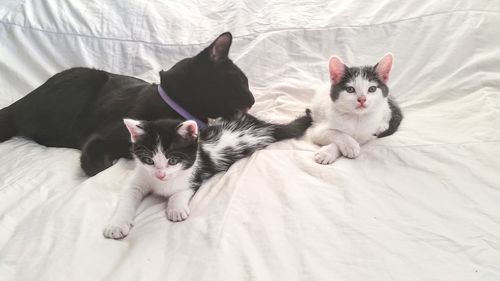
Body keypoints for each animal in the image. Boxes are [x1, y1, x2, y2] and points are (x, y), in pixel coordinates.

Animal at [103, 110, 310, 237]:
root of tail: (262, 124)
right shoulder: (140, 177)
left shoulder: (194, 175)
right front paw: (116, 225)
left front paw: (176, 209)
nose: (161, 175)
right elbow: (128, 196)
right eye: (149, 160)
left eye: (173, 160)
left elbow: (180, 192)